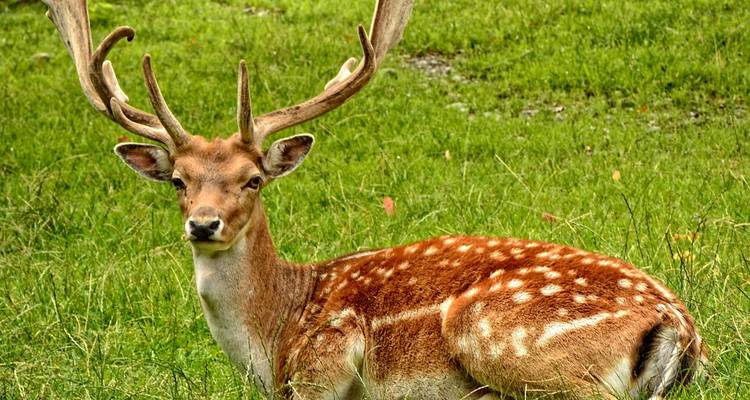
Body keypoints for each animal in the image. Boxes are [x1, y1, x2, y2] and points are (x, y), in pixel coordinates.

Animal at [42, 0, 707, 399]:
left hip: (497, 333)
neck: (274, 335)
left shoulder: (324, 362)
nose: (204, 225)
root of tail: (679, 326)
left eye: (253, 179)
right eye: (179, 180)